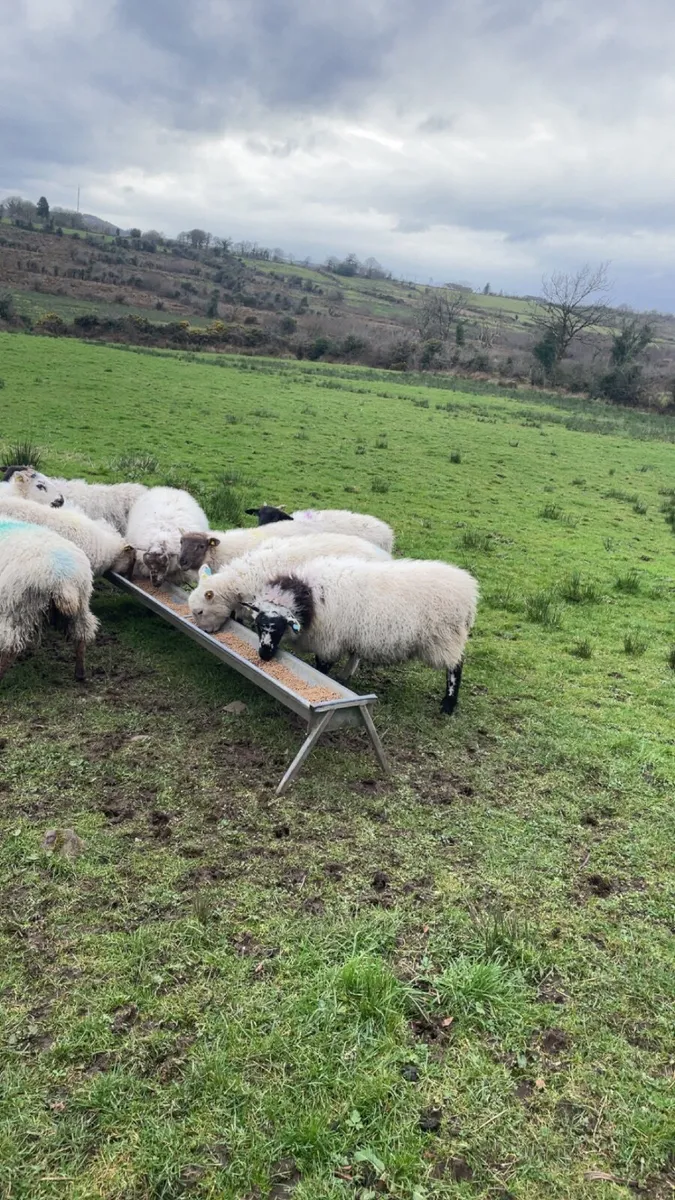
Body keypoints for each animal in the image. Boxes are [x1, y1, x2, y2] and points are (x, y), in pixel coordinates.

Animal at [0, 518, 98, 682]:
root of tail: (62, 577)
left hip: (17, 609)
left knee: (10, 647)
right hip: (81, 604)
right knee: (81, 635)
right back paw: (80, 673)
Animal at [247, 556, 479, 715]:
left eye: (279, 627)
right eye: (258, 626)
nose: (264, 655)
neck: (309, 597)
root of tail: (469, 590)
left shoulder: (328, 641)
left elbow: (321, 667)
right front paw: (344, 677)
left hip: (445, 639)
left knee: (455, 667)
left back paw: (448, 704)